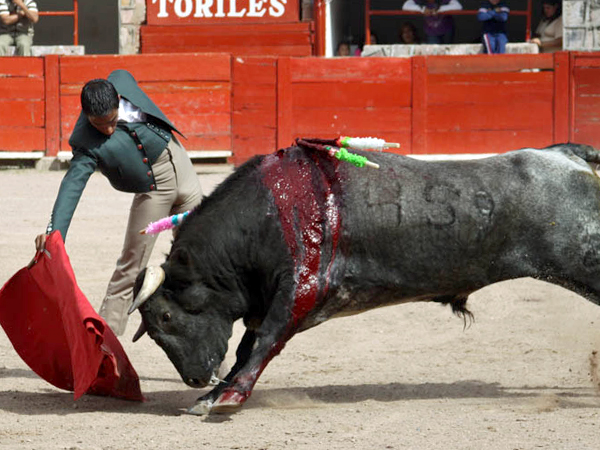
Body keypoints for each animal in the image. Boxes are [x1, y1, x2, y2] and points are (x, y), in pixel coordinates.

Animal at [129, 143, 600, 414]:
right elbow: (247, 348)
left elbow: (262, 345)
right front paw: (211, 395)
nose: (193, 378)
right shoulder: (268, 305)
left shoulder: (300, 292)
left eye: (166, 318)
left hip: (585, 261)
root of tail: (566, 156)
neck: (265, 216)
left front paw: (223, 398)